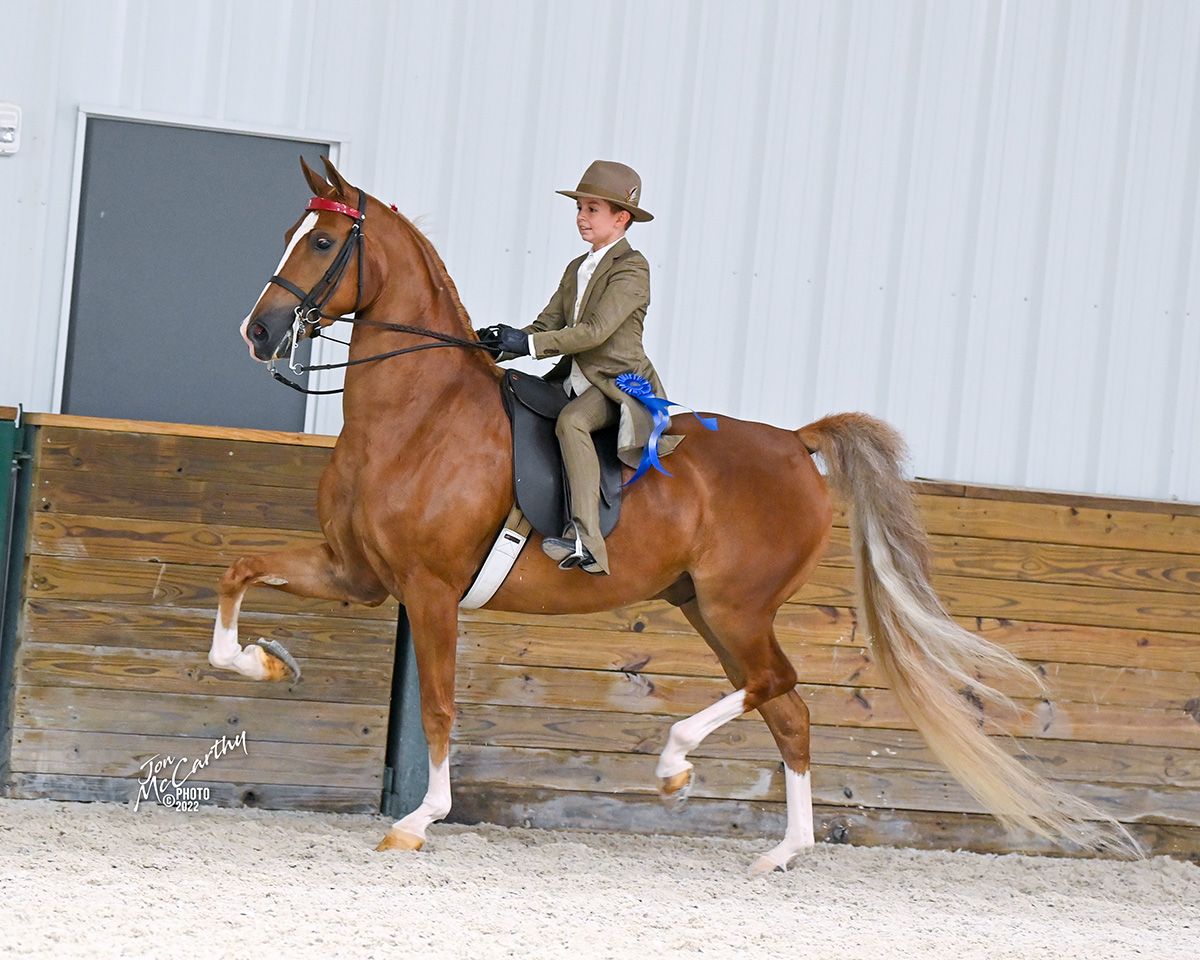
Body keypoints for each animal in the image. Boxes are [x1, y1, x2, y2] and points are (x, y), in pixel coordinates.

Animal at [209, 157, 1137, 871]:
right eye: (294, 230)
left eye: (322, 241)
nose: (258, 332)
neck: (417, 414)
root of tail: (796, 444)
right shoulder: (359, 573)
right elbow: (239, 573)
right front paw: (266, 663)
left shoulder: (431, 591)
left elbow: (438, 705)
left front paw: (418, 821)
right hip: (705, 607)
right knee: (789, 710)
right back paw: (781, 853)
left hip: (736, 606)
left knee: (777, 686)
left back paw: (674, 765)